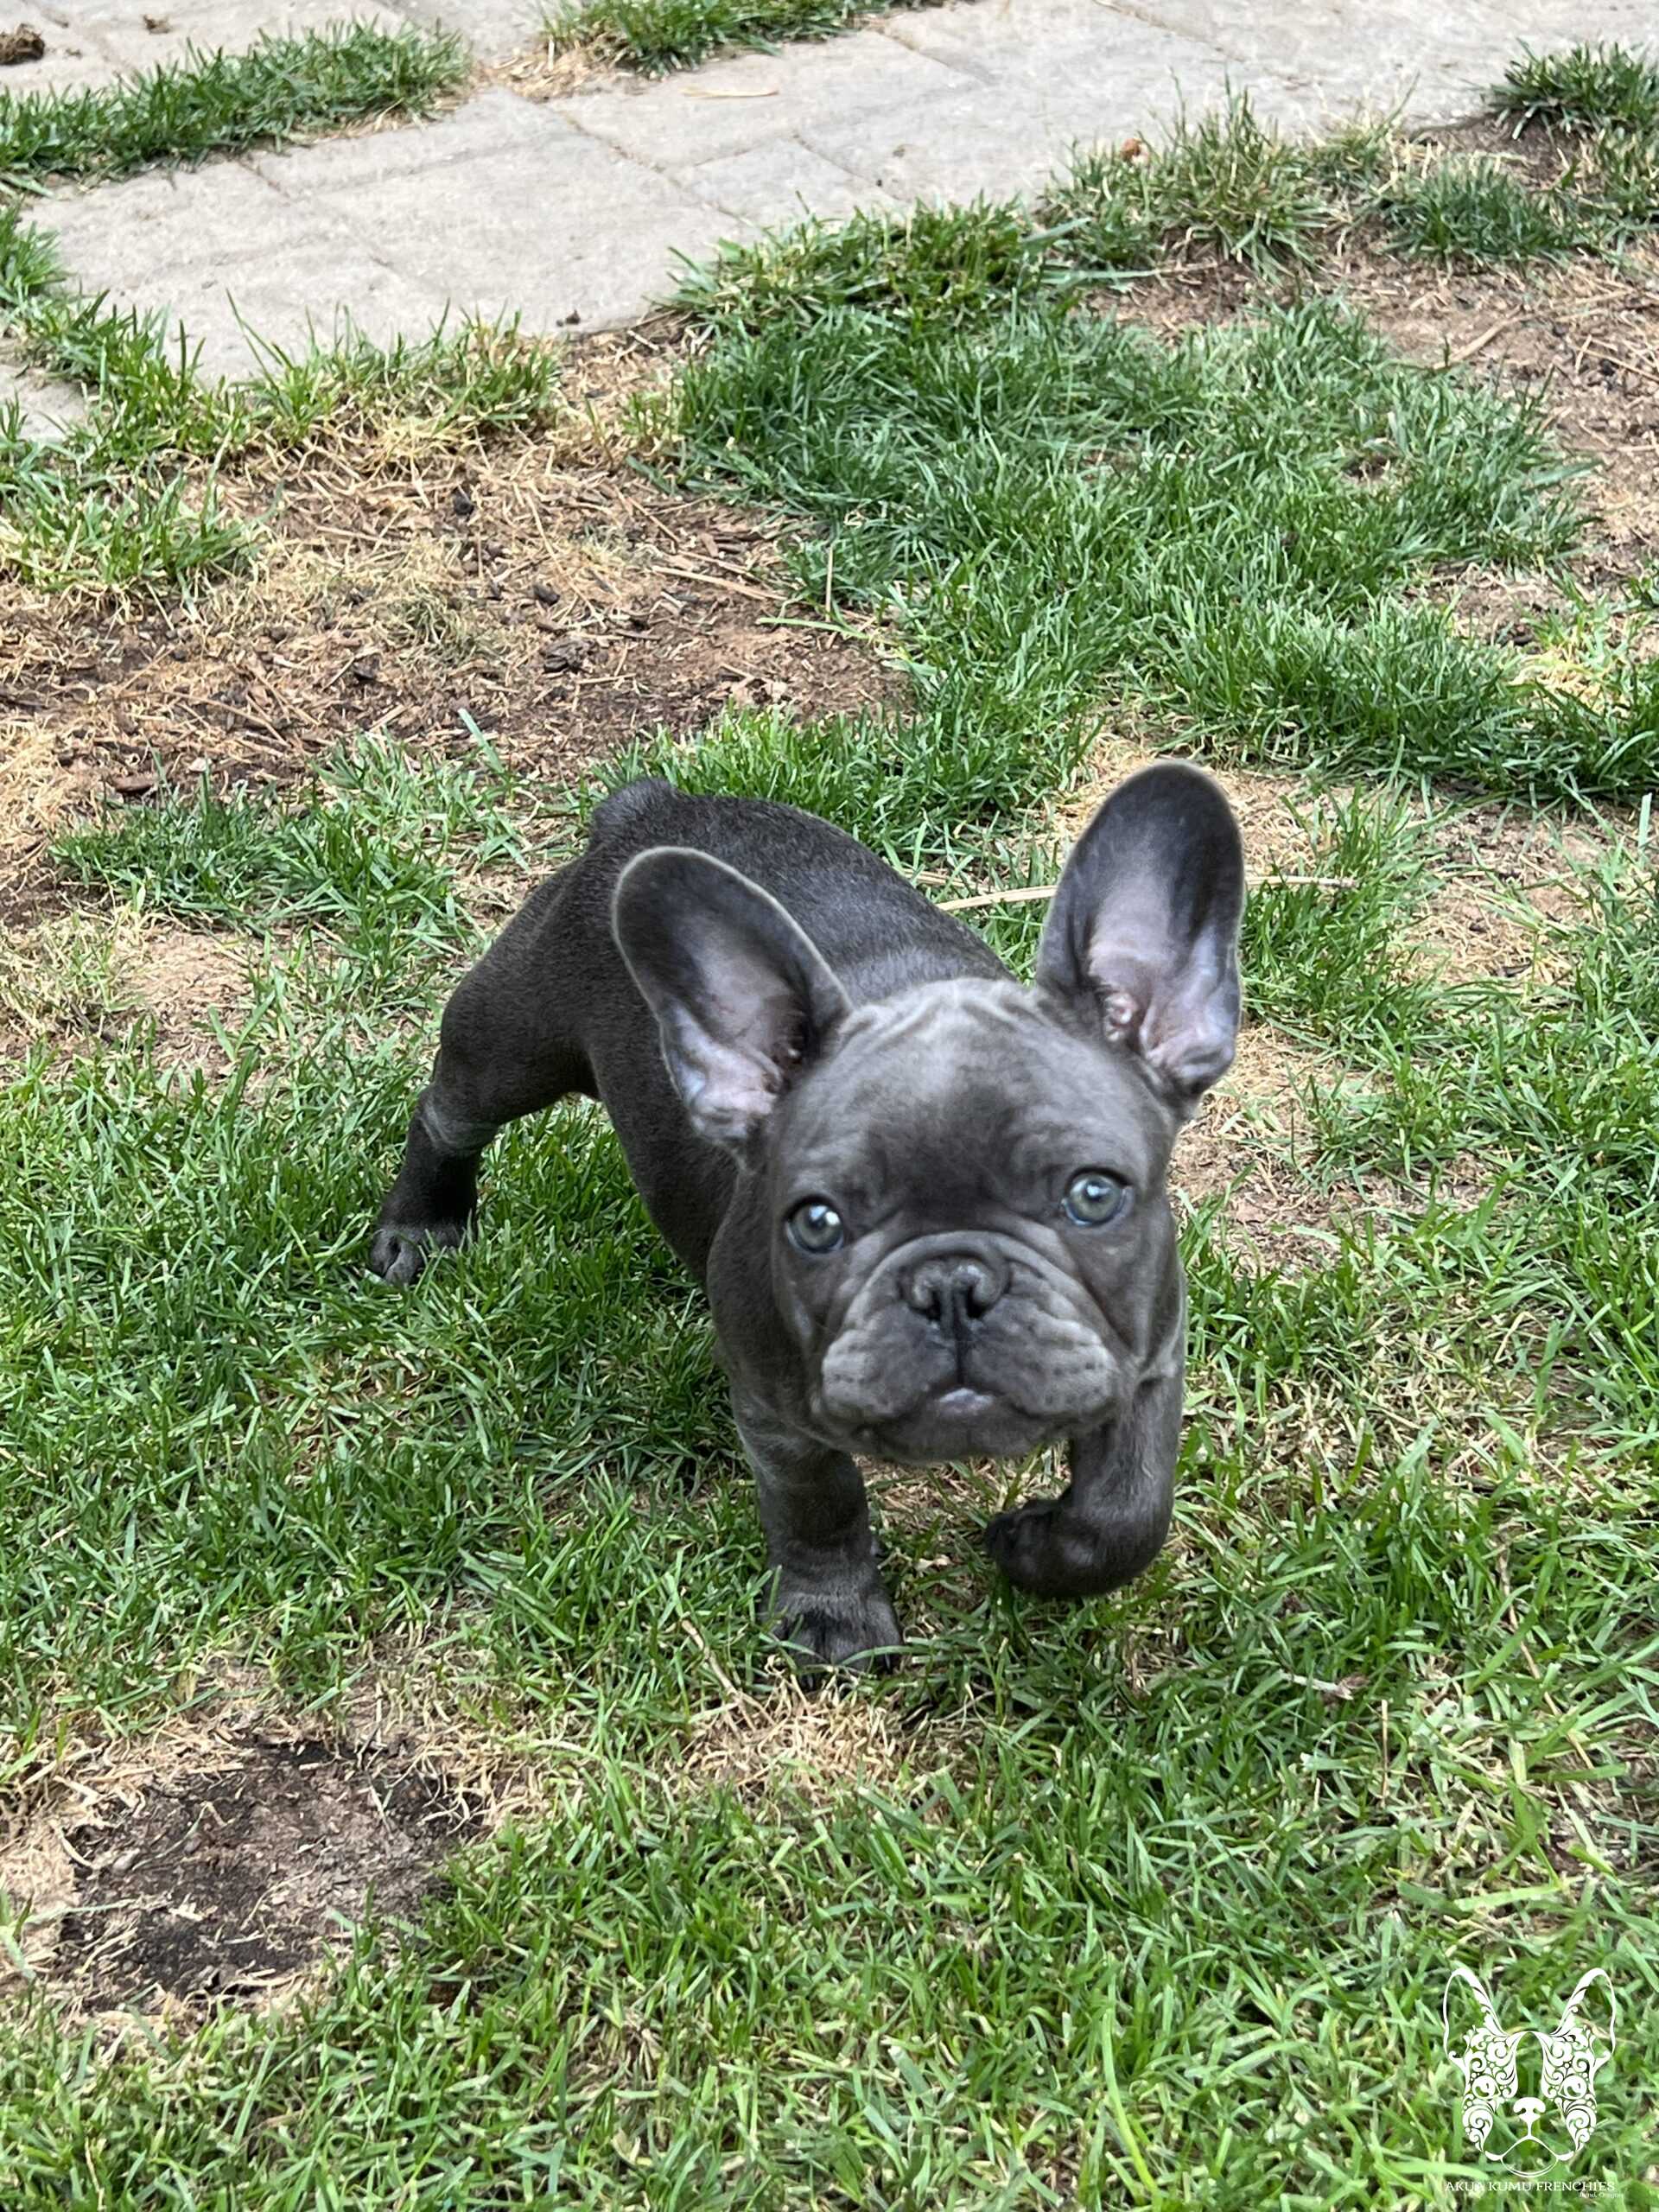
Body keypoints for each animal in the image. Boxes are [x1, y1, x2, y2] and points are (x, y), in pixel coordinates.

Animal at [369, 769, 1238, 1663]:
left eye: (1094, 1196)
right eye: (817, 1223)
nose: (952, 1284)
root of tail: (649, 805)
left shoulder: (1147, 1359)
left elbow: (1124, 1513)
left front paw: (1033, 1547)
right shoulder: (777, 1412)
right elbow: (820, 1502)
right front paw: (836, 1615)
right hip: (516, 1032)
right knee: (451, 1111)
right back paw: (419, 1228)